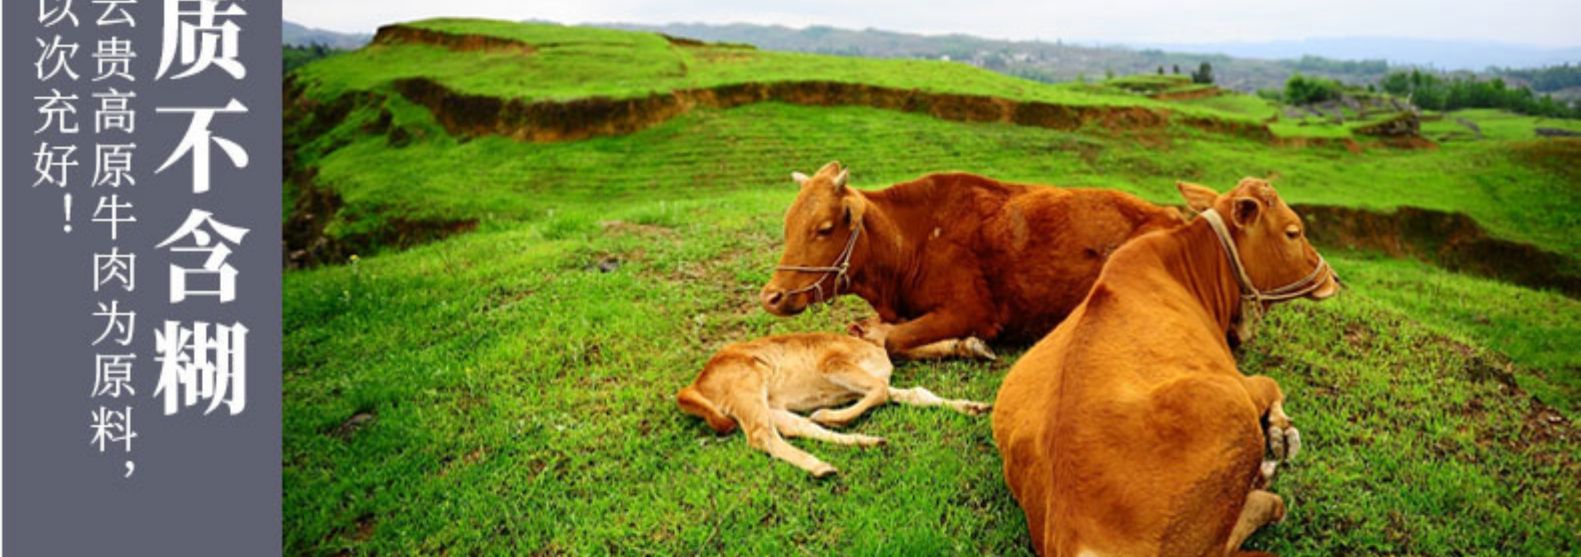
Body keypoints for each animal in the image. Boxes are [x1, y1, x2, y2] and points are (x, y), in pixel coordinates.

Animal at [676, 332, 986, 477]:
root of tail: (696, 384)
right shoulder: (833, 363)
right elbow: (880, 391)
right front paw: (829, 414)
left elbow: (915, 393)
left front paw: (973, 406)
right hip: (747, 387)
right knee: (760, 435)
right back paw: (820, 466)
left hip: (770, 402)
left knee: (794, 427)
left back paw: (867, 442)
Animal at [758, 161, 1182, 360]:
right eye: (787, 225)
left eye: (824, 228)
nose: (771, 297)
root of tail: (1170, 213)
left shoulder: (972, 309)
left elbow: (892, 338)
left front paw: (968, 345)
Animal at [992, 179, 1340, 557]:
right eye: (1294, 231)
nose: (1333, 277)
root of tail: (1071, 535)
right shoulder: (1239, 380)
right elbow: (1274, 384)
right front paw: (1283, 431)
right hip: (1225, 405)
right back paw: (1266, 489)